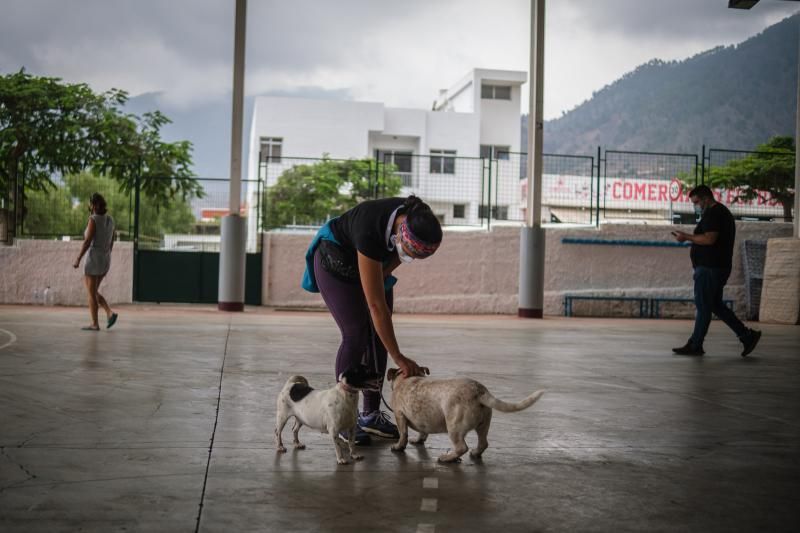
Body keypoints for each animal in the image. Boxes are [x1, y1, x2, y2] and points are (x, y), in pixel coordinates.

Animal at [386, 370, 544, 462]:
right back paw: (475, 453)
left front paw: (398, 447)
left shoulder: (399, 416)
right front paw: (418, 440)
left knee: (462, 447)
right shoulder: (422, 419)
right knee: (483, 443)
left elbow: (403, 434)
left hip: (454, 427)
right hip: (484, 424)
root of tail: (479, 391)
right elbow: (422, 432)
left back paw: (446, 458)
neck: (405, 380)